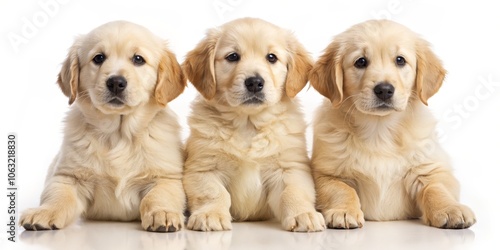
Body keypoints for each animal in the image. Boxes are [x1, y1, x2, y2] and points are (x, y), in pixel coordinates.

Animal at [19, 21, 188, 232]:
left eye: (138, 59)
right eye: (98, 58)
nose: (116, 82)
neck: (118, 134)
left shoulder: (166, 177)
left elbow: (158, 196)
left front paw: (162, 213)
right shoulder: (68, 176)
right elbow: (58, 195)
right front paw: (45, 212)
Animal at [182, 17, 326, 232]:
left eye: (272, 57)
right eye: (233, 56)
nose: (255, 83)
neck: (248, 124)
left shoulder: (290, 168)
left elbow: (293, 192)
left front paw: (303, 214)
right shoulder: (203, 168)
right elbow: (214, 193)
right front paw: (210, 214)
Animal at [308, 20, 476, 229]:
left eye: (400, 60)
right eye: (360, 61)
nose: (384, 90)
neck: (380, 130)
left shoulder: (432, 168)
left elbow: (436, 188)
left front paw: (450, 209)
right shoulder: (326, 173)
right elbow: (341, 189)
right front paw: (344, 211)